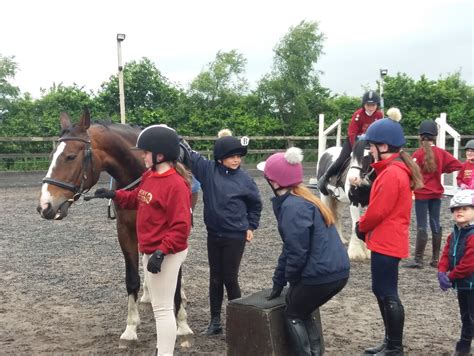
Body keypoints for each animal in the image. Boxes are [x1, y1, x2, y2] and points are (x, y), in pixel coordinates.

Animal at [36, 110, 193, 344]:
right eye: (52, 155)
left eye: (71, 156)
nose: (45, 206)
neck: (142, 173)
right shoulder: (125, 230)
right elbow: (132, 279)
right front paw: (131, 328)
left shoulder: (172, 229)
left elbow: (175, 277)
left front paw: (182, 323)